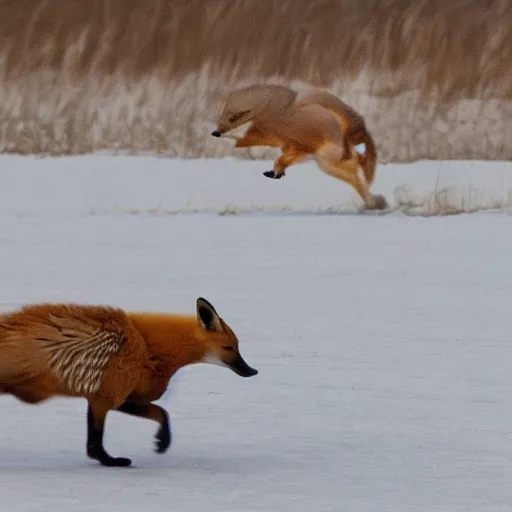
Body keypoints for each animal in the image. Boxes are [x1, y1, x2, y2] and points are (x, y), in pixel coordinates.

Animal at [0, 296, 258, 468]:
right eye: (229, 348)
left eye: (237, 347)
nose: (252, 371)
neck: (146, 346)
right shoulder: (107, 397)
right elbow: (95, 445)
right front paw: (112, 461)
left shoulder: (122, 397)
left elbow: (162, 413)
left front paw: (162, 441)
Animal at [210, 84, 386, 210]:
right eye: (221, 118)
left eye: (232, 118)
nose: (214, 132)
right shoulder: (294, 148)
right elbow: (281, 162)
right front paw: (275, 173)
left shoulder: (300, 146)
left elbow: (280, 160)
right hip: (328, 160)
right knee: (357, 165)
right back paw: (374, 200)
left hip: (326, 162)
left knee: (356, 173)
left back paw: (373, 202)